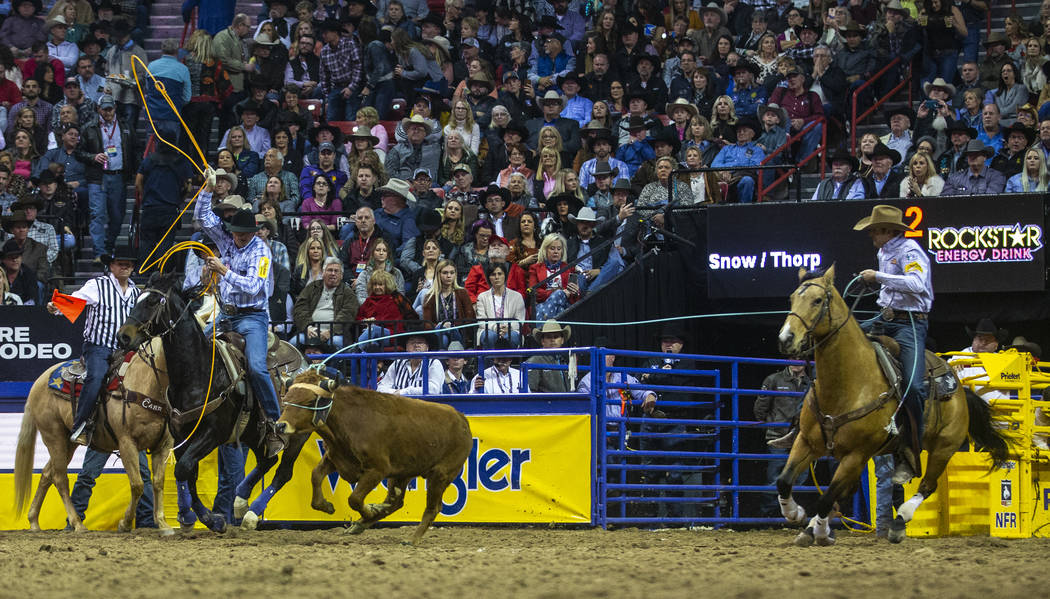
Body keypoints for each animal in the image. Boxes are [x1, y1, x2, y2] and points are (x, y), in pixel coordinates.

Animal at [14, 338, 174, 533]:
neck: (145, 382)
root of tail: (39, 381)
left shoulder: (163, 445)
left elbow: (158, 483)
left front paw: (163, 523)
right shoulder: (126, 443)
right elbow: (137, 485)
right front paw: (125, 523)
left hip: (69, 442)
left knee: (46, 474)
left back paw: (34, 521)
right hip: (53, 436)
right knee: (60, 478)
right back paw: (77, 523)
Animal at [120, 273, 306, 529]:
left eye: (152, 302)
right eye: (137, 299)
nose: (123, 335)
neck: (198, 372)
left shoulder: (212, 434)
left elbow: (183, 469)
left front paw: (206, 518)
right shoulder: (182, 434)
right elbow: (188, 473)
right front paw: (195, 516)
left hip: (297, 436)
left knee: (283, 472)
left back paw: (251, 514)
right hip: (253, 434)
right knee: (266, 461)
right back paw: (240, 502)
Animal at [772, 263, 1007, 542]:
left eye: (818, 300)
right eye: (792, 298)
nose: (786, 339)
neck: (848, 385)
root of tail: (959, 387)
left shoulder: (857, 455)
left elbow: (826, 497)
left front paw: (817, 531)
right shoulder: (807, 441)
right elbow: (785, 480)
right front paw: (796, 514)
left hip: (944, 447)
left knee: (927, 485)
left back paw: (899, 521)